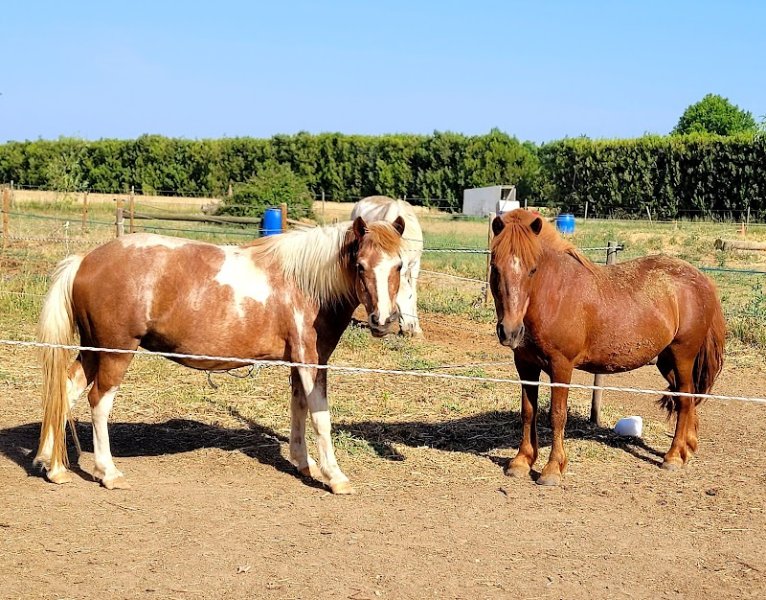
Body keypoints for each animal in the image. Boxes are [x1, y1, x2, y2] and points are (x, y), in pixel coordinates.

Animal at [33, 216, 406, 495]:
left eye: (400, 265)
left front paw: (304, 463)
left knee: (64, 391)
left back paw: (53, 466)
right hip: (115, 353)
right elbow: (320, 418)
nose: (384, 321)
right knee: (98, 401)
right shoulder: (311, 361)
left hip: (92, 350)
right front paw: (335, 476)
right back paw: (107, 472)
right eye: (360, 266)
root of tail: (85, 260)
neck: (304, 283)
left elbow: (299, 409)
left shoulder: (297, 363)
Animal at [351, 196, 424, 337]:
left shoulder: (415, 265)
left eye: (409, 297)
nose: (408, 328)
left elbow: (415, 294)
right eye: (396, 302)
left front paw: (417, 329)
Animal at [489, 209, 725, 486]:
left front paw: (552, 469)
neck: (554, 294)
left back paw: (674, 457)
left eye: (533, 269)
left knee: (686, 399)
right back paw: (687, 447)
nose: (510, 331)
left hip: (683, 356)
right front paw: (522, 461)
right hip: (666, 361)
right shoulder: (525, 365)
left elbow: (557, 415)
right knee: (683, 400)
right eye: (495, 266)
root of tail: (702, 279)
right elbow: (528, 412)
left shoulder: (561, 366)